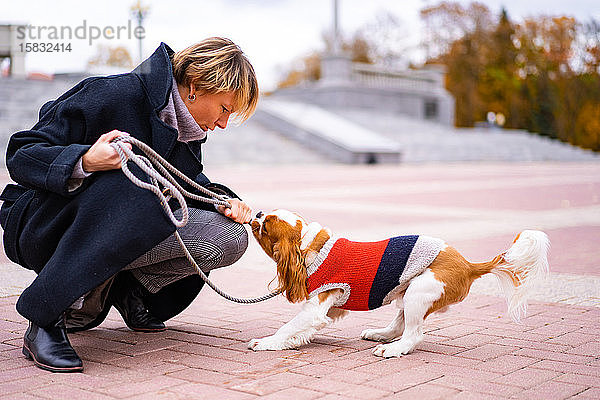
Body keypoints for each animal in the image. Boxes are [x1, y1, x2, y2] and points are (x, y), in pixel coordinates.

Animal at [247, 208, 548, 358]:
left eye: (266, 224)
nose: (258, 212)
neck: (312, 247)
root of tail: (467, 264)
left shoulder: (316, 307)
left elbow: (288, 326)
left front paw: (266, 342)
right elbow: (298, 330)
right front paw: (288, 343)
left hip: (419, 291)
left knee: (412, 334)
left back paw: (392, 348)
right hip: (408, 292)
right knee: (400, 326)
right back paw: (381, 335)